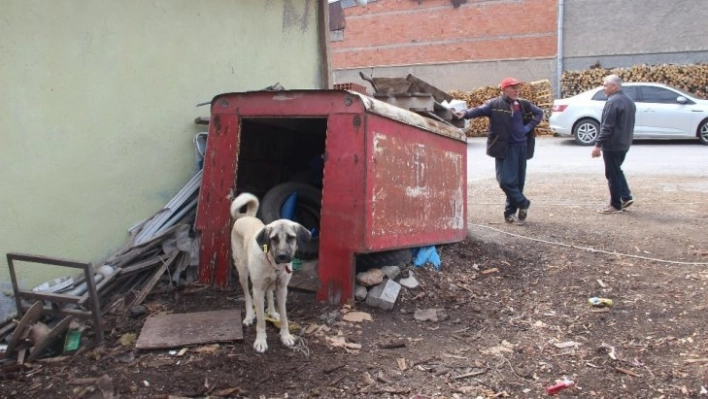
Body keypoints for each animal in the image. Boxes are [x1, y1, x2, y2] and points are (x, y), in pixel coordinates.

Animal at [231, 194, 312, 354]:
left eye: (291, 237)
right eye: (274, 239)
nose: (282, 256)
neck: (274, 265)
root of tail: (245, 217)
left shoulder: (282, 288)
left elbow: (284, 317)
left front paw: (285, 336)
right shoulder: (257, 290)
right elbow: (261, 321)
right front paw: (260, 341)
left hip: (269, 283)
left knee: (269, 293)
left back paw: (272, 311)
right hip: (242, 273)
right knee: (247, 295)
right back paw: (249, 316)